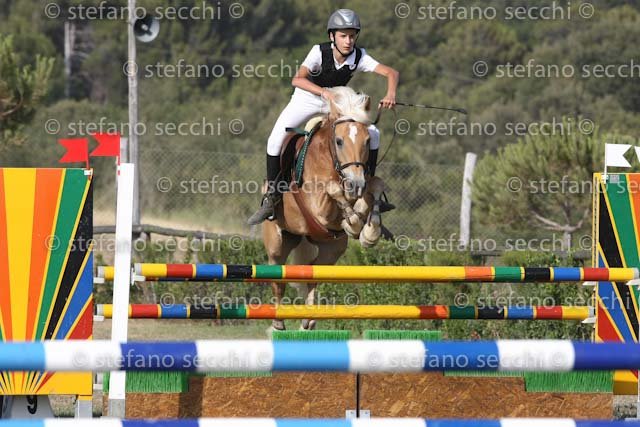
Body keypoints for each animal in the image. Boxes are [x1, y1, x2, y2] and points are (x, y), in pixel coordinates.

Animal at [262, 86, 387, 331]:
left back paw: (308, 319)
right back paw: (279, 322)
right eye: (339, 141)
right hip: (278, 242)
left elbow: (374, 188)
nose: (356, 183)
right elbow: (333, 191)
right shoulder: (317, 206)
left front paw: (368, 231)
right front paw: (353, 222)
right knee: (278, 275)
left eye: (368, 141)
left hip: (331, 250)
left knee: (313, 273)